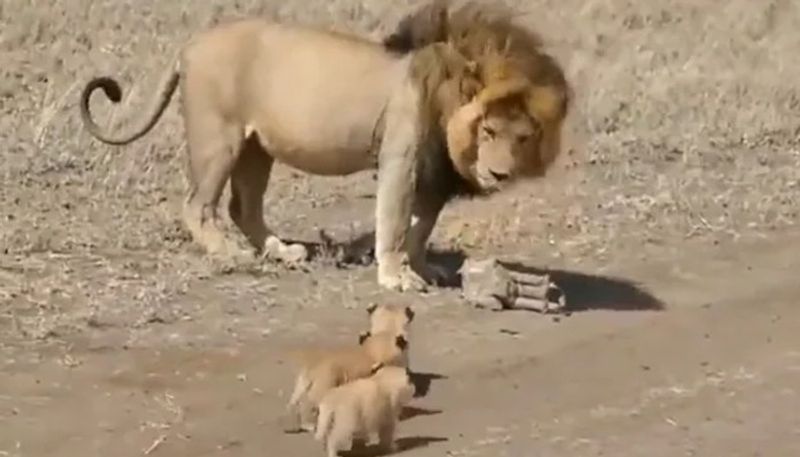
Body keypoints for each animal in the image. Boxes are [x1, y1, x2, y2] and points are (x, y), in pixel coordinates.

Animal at [79, 1, 568, 290]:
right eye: (488, 132)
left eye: (523, 137)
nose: (500, 173)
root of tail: (190, 44)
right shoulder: (402, 157)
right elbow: (395, 222)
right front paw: (396, 276)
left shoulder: (434, 175)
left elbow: (420, 227)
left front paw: (423, 268)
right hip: (219, 138)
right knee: (198, 205)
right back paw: (230, 254)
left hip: (257, 147)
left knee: (244, 207)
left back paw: (281, 251)